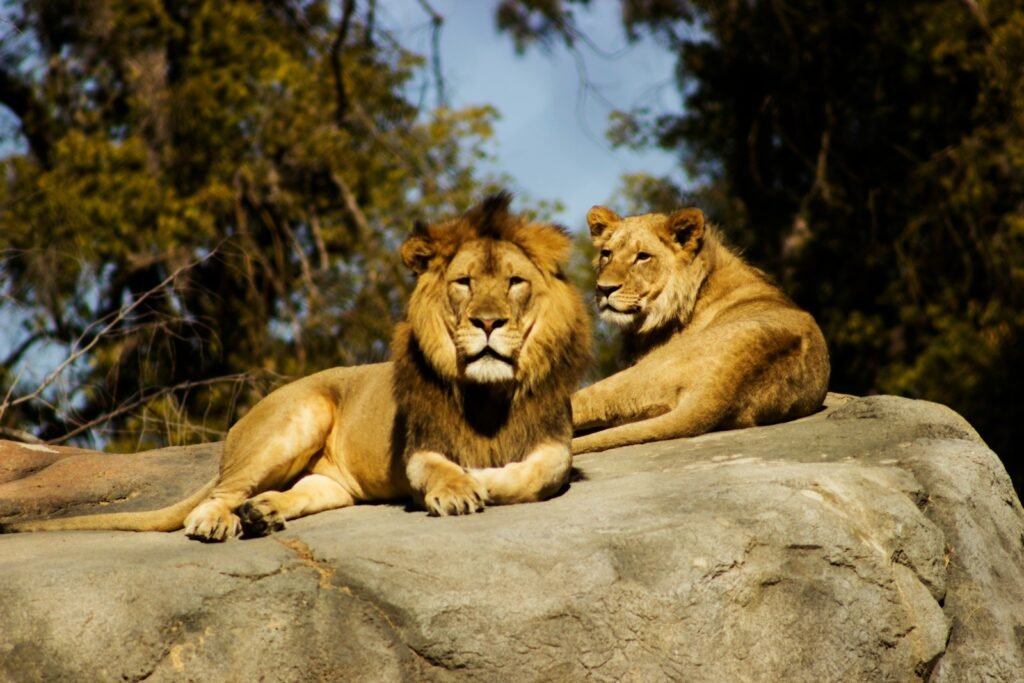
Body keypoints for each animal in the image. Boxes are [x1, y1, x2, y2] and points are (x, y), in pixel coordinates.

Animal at [2, 193, 591, 541]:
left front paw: (486, 478)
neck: (490, 392)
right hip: (296, 420)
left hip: (332, 482)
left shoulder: (554, 441)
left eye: (515, 282)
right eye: (464, 282)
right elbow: (439, 467)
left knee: (301, 491)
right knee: (216, 496)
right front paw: (461, 486)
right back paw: (218, 521)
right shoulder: (419, 446)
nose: (488, 322)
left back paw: (262, 513)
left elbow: (539, 472)